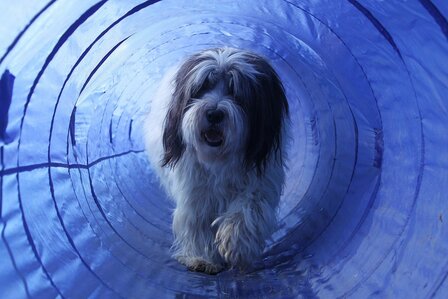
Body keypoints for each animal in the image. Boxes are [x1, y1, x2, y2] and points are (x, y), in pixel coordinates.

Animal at [145, 47, 288, 274]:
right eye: (202, 88)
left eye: (236, 92)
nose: (214, 114)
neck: (219, 158)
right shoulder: (195, 190)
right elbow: (198, 220)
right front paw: (203, 258)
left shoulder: (262, 179)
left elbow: (250, 206)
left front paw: (236, 244)